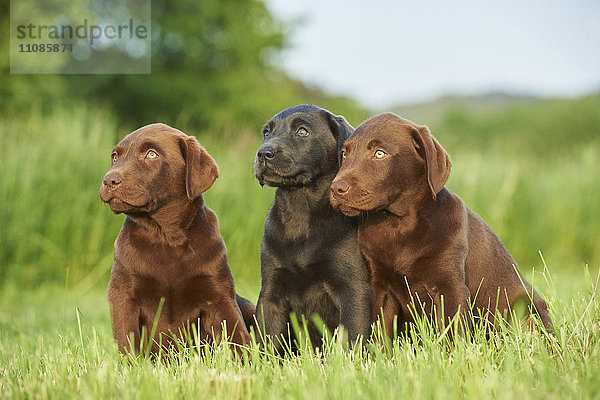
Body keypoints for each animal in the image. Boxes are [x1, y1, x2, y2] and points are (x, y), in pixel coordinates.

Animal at [99, 123, 253, 354]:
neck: (166, 236)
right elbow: (127, 340)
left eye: (151, 154)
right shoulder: (124, 295)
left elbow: (238, 337)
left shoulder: (219, 296)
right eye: (115, 156)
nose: (109, 180)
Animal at [252, 105, 370, 350]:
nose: (263, 153)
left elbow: (353, 337)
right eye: (267, 132)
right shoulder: (271, 290)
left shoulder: (354, 288)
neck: (300, 211)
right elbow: (267, 339)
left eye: (302, 132)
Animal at [330, 112, 556, 338]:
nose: (336, 188)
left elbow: (453, 333)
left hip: (525, 310)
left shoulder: (450, 287)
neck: (398, 224)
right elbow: (380, 334)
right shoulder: (381, 288)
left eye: (379, 153)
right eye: (344, 154)